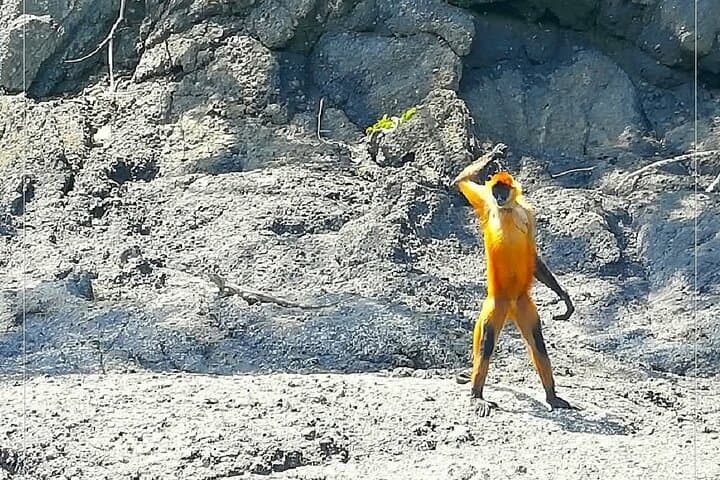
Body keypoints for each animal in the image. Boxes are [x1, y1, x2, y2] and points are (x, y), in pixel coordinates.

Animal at [452, 158, 574, 416]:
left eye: (504, 191)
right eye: (495, 191)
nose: (499, 197)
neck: (507, 210)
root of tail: (509, 307)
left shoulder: (528, 212)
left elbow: (533, 255)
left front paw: (563, 296)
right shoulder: (487, 204)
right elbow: (460, 181)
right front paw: (490, 156)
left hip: (523, 304)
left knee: (538, 343)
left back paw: (551, 396)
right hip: (495, 304)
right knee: (487, 343)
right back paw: (477, 396)